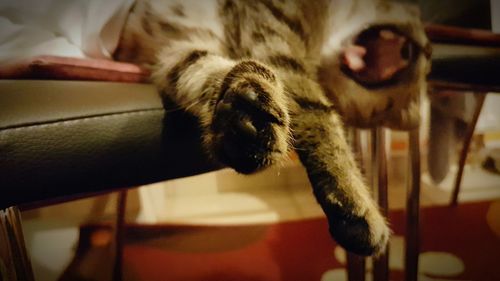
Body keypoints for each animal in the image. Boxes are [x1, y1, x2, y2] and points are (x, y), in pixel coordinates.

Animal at [112, 0, 430, 255]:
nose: (428, 50)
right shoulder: (274, 34)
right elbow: (318, 114)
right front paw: (356, 203)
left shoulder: (176, 53)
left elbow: (202, 70)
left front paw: (242, 116)